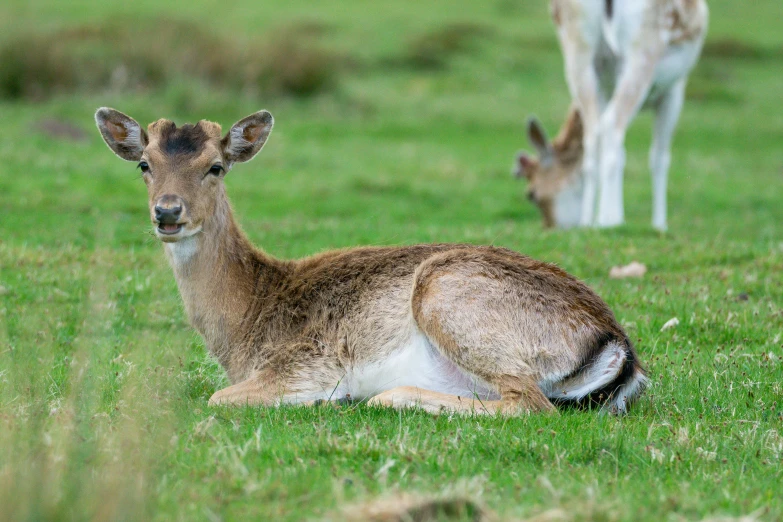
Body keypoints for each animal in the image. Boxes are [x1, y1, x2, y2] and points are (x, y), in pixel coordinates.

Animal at [95, 107, 648, 412]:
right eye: (144, 164)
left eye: (215, 166)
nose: (168, 212)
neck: (244, 328)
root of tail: (617, 345)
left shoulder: (305, 363)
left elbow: (218, 398)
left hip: (446, 296)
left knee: (530, 403)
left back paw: (385, 396)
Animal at [516, 0, 712, 229]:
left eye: (531, 194)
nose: (550, 228)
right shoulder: (674, 90)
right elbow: (659, 157)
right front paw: (659, 225)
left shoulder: (607, 88)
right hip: (642, 51)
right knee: (611, 124)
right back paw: (610, 220)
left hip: (577, 51)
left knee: (594, 133)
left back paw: (587, 222)